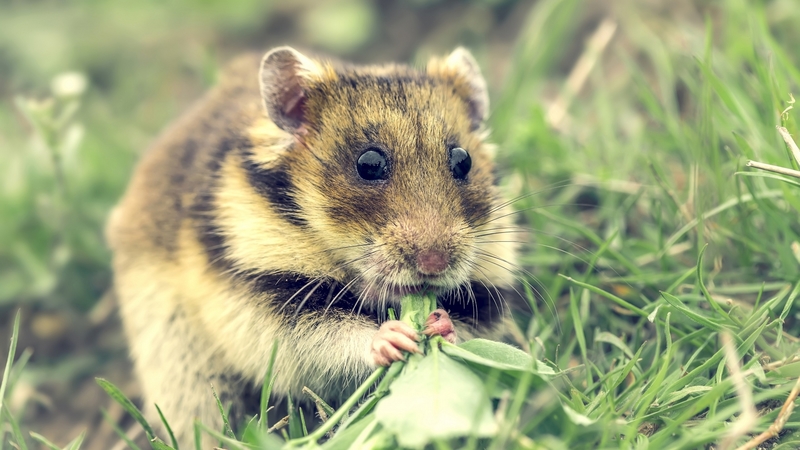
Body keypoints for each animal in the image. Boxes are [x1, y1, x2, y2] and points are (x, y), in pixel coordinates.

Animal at [106, 46, 523, 446]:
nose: (434, 263)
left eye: (463, 160)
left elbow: (470, 327)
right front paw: (396, 337)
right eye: (368, 163)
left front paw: (438, 324)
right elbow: (335, 338)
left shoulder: (488, 297)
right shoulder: (268, 304)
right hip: (180, 363)